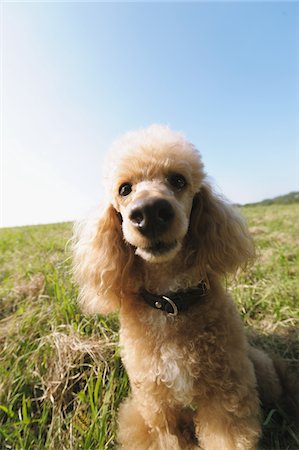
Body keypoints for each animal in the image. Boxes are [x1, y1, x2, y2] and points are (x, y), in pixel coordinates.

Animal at [74, 125, 298, 448]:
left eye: (178, 180)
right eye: (125, 189)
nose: (150, 213)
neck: (171, 301)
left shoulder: (225, 399)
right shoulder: (159, 408)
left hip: (257, 368)